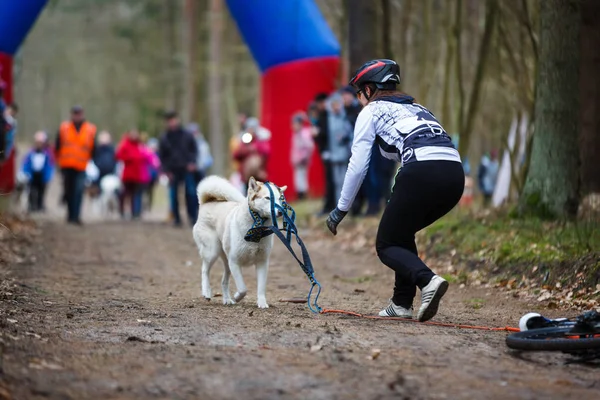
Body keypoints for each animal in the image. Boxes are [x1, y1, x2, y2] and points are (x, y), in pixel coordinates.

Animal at [192, 176, 286, 310]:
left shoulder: (262, 263)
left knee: (223, 281)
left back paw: (227, 300)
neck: (256, 228)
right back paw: (207, 292)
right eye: (268, 198)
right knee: (205, 270)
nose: (281, 212)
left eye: (280, 199)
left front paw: (262, 303)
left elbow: (261, 287)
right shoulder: (235, 262)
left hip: (226, 262)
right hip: (212, 252)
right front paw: (236, 297)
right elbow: (243, 289)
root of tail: (207, 202)